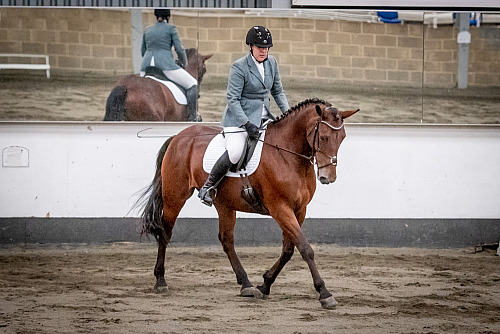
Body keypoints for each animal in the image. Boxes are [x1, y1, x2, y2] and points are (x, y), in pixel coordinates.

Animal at [141, 98, 358, 310]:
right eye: (323, 137)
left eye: (342, 137)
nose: (328, 177)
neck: (289, 155)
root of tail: (178, 136)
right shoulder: (280, 208)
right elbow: (305, 249)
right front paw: (324, 293)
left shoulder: (299, 210)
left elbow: (288, 250)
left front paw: (265, 285)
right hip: (174, 197)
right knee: (165, 233)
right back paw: (160, 280)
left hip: (224, 204)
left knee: (226, 240)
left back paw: (246, 284)